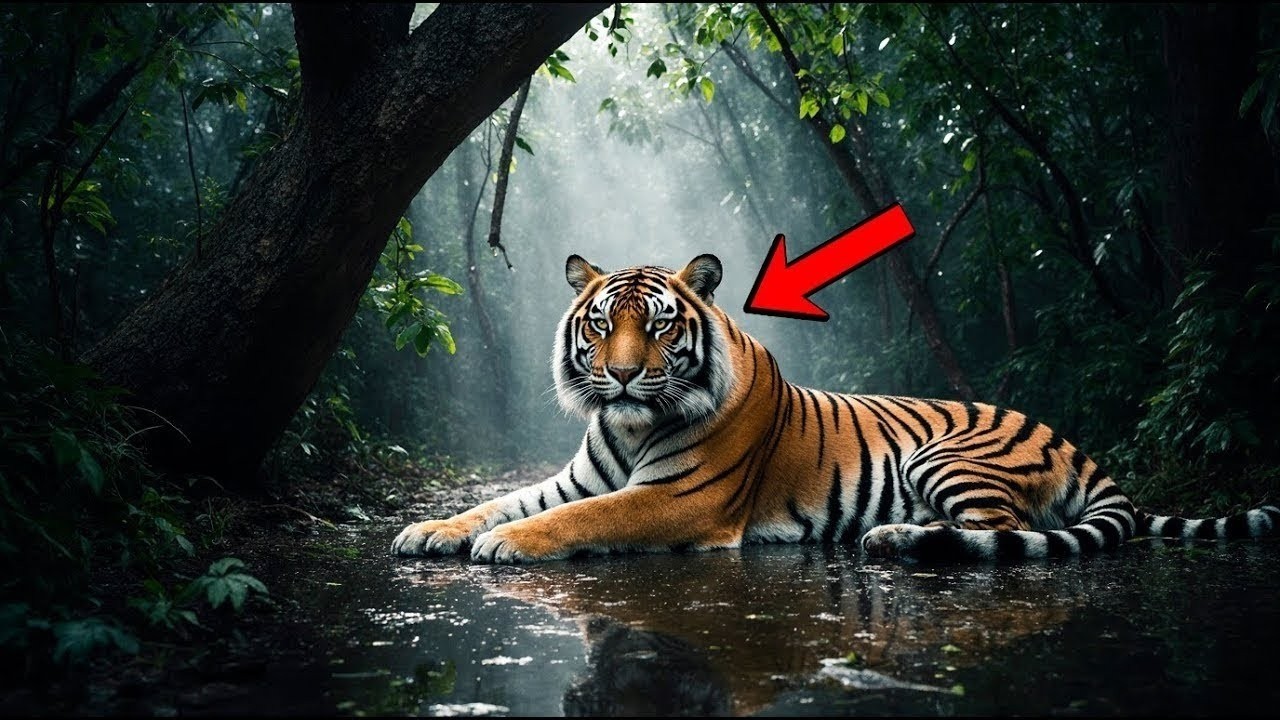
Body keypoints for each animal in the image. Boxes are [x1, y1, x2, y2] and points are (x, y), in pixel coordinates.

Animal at [392, 253, 1280, 564]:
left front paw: (507, 544)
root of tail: (1073, 440)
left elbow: (577, 519)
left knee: (1003, 534)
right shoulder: (577, 477)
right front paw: (429, 530)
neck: (628, 425)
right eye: (603, 324)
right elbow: (503, 500)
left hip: (946, 454)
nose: (620, 377)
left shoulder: (681, 499)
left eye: (662, 325)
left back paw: (896, 540)